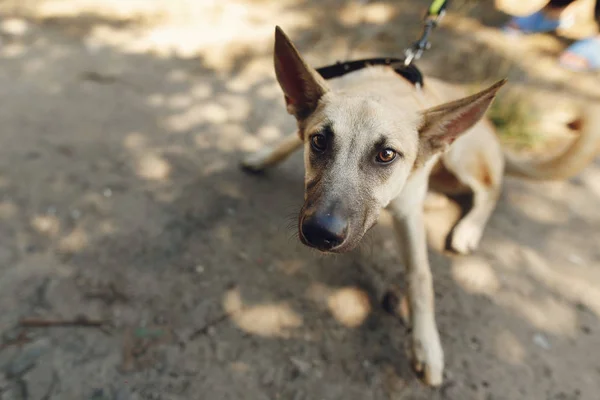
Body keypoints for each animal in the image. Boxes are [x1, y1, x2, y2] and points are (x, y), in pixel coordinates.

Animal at [240, 25, 600, 388]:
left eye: (386, 154)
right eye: (319, 141)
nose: (320, 233)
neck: (384, 88)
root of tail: (495, 139)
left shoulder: (407, 215)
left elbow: (420, 278)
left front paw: (426, 346)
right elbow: (289, 140)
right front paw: (264, 156)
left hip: (460, 156)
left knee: (491, 188)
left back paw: (468, 228)